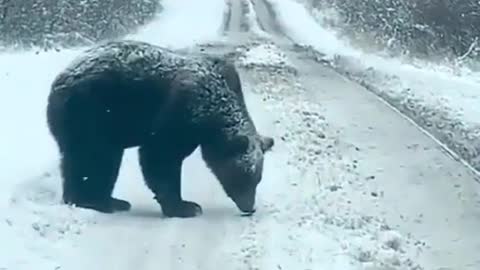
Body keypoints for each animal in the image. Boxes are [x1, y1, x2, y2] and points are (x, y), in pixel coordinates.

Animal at [47, 39, 278, 217]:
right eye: (243, 177)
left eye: (257, 178)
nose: (250, 207)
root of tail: (59, 79)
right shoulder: (180, 113)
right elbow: (160, 155)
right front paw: (185, 206)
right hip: (91, 111)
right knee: (95, 155)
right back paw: (96, 201)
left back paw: (105, 200)